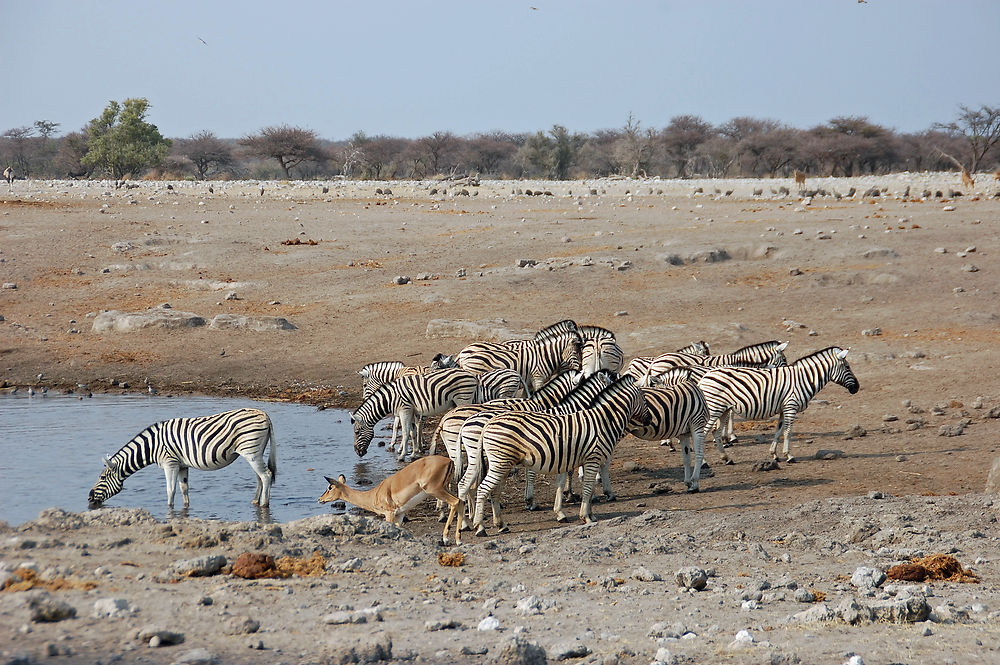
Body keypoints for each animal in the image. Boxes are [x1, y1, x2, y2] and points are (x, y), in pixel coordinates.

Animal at [87, 404, 276, 508]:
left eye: (102, 478)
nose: (89, 498)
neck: (152, 446)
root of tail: (265, 414)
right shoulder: (182, 465)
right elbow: (184, 489)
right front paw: (185, 509)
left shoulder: (169, 463)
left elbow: (170, 490)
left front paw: (169, 510)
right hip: (255, 452)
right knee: (260, 477)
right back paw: (255, 502)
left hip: (251, 452)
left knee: (266, 475)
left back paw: (264, 504)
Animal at [474, 374, 652, 536]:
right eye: (644, 398)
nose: (649, 420)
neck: (603, 421)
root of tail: (488, 423)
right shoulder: (592, 459)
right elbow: (588, 487)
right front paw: (586, 516)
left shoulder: (571, 458)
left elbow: (579, 486)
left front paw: (582, 513)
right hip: (500, 462)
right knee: (482, 489)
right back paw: (479, 527)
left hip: (503, 463)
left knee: (494, 491)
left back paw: (501, 524)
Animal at [696, 344, 860, 464]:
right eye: (847, 367)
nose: (857, 388)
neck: (803, 379)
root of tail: (704, 376)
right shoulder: (791, 407)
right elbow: (788, 432)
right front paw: (789, 456)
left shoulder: (783, 409)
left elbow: (779, 431)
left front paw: (774, 454)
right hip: (714, 408)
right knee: (703, 433)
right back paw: (704, 462)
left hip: (723, 409)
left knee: (715, 432)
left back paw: (727, 458)